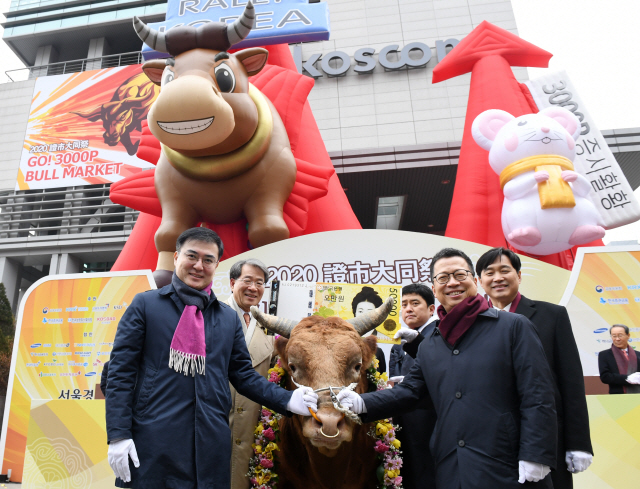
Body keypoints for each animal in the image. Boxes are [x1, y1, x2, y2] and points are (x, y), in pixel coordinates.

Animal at [134, 0, 298, 284]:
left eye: (225, 77)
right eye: (167, 78)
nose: (182, 98)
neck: (214, 166)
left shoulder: (275, 182)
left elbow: (269, 231)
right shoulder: (170, 192)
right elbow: (168, 234)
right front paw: (162, 275)